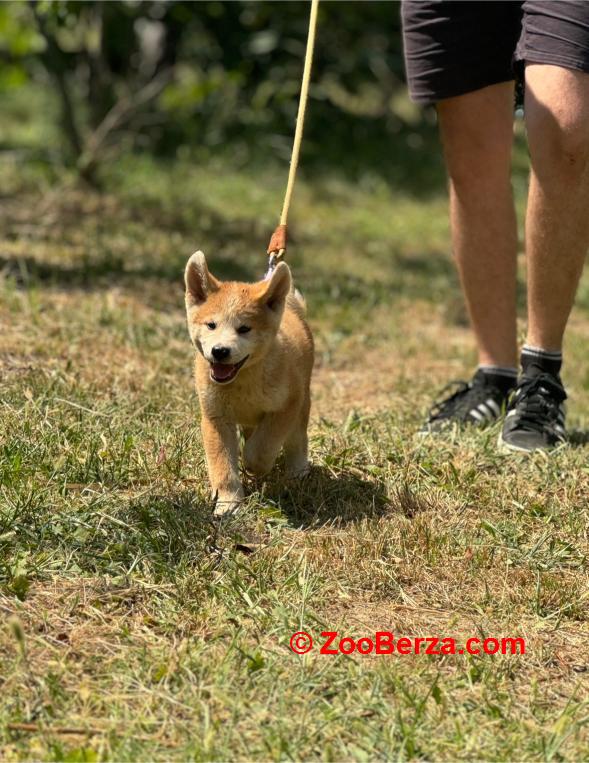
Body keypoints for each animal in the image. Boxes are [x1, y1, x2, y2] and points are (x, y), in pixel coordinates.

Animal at [185, 254, 314, 516]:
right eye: (211, 325)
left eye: (244, 328)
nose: (220, 351)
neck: (242, 381)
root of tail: (291, 309)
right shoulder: (215, 417)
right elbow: (222, 467)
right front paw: (228, 503)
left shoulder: (287, 405)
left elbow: (261, 450)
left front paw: (254, 466)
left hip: (302, 403)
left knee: (297, 440)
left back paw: (297, 472)